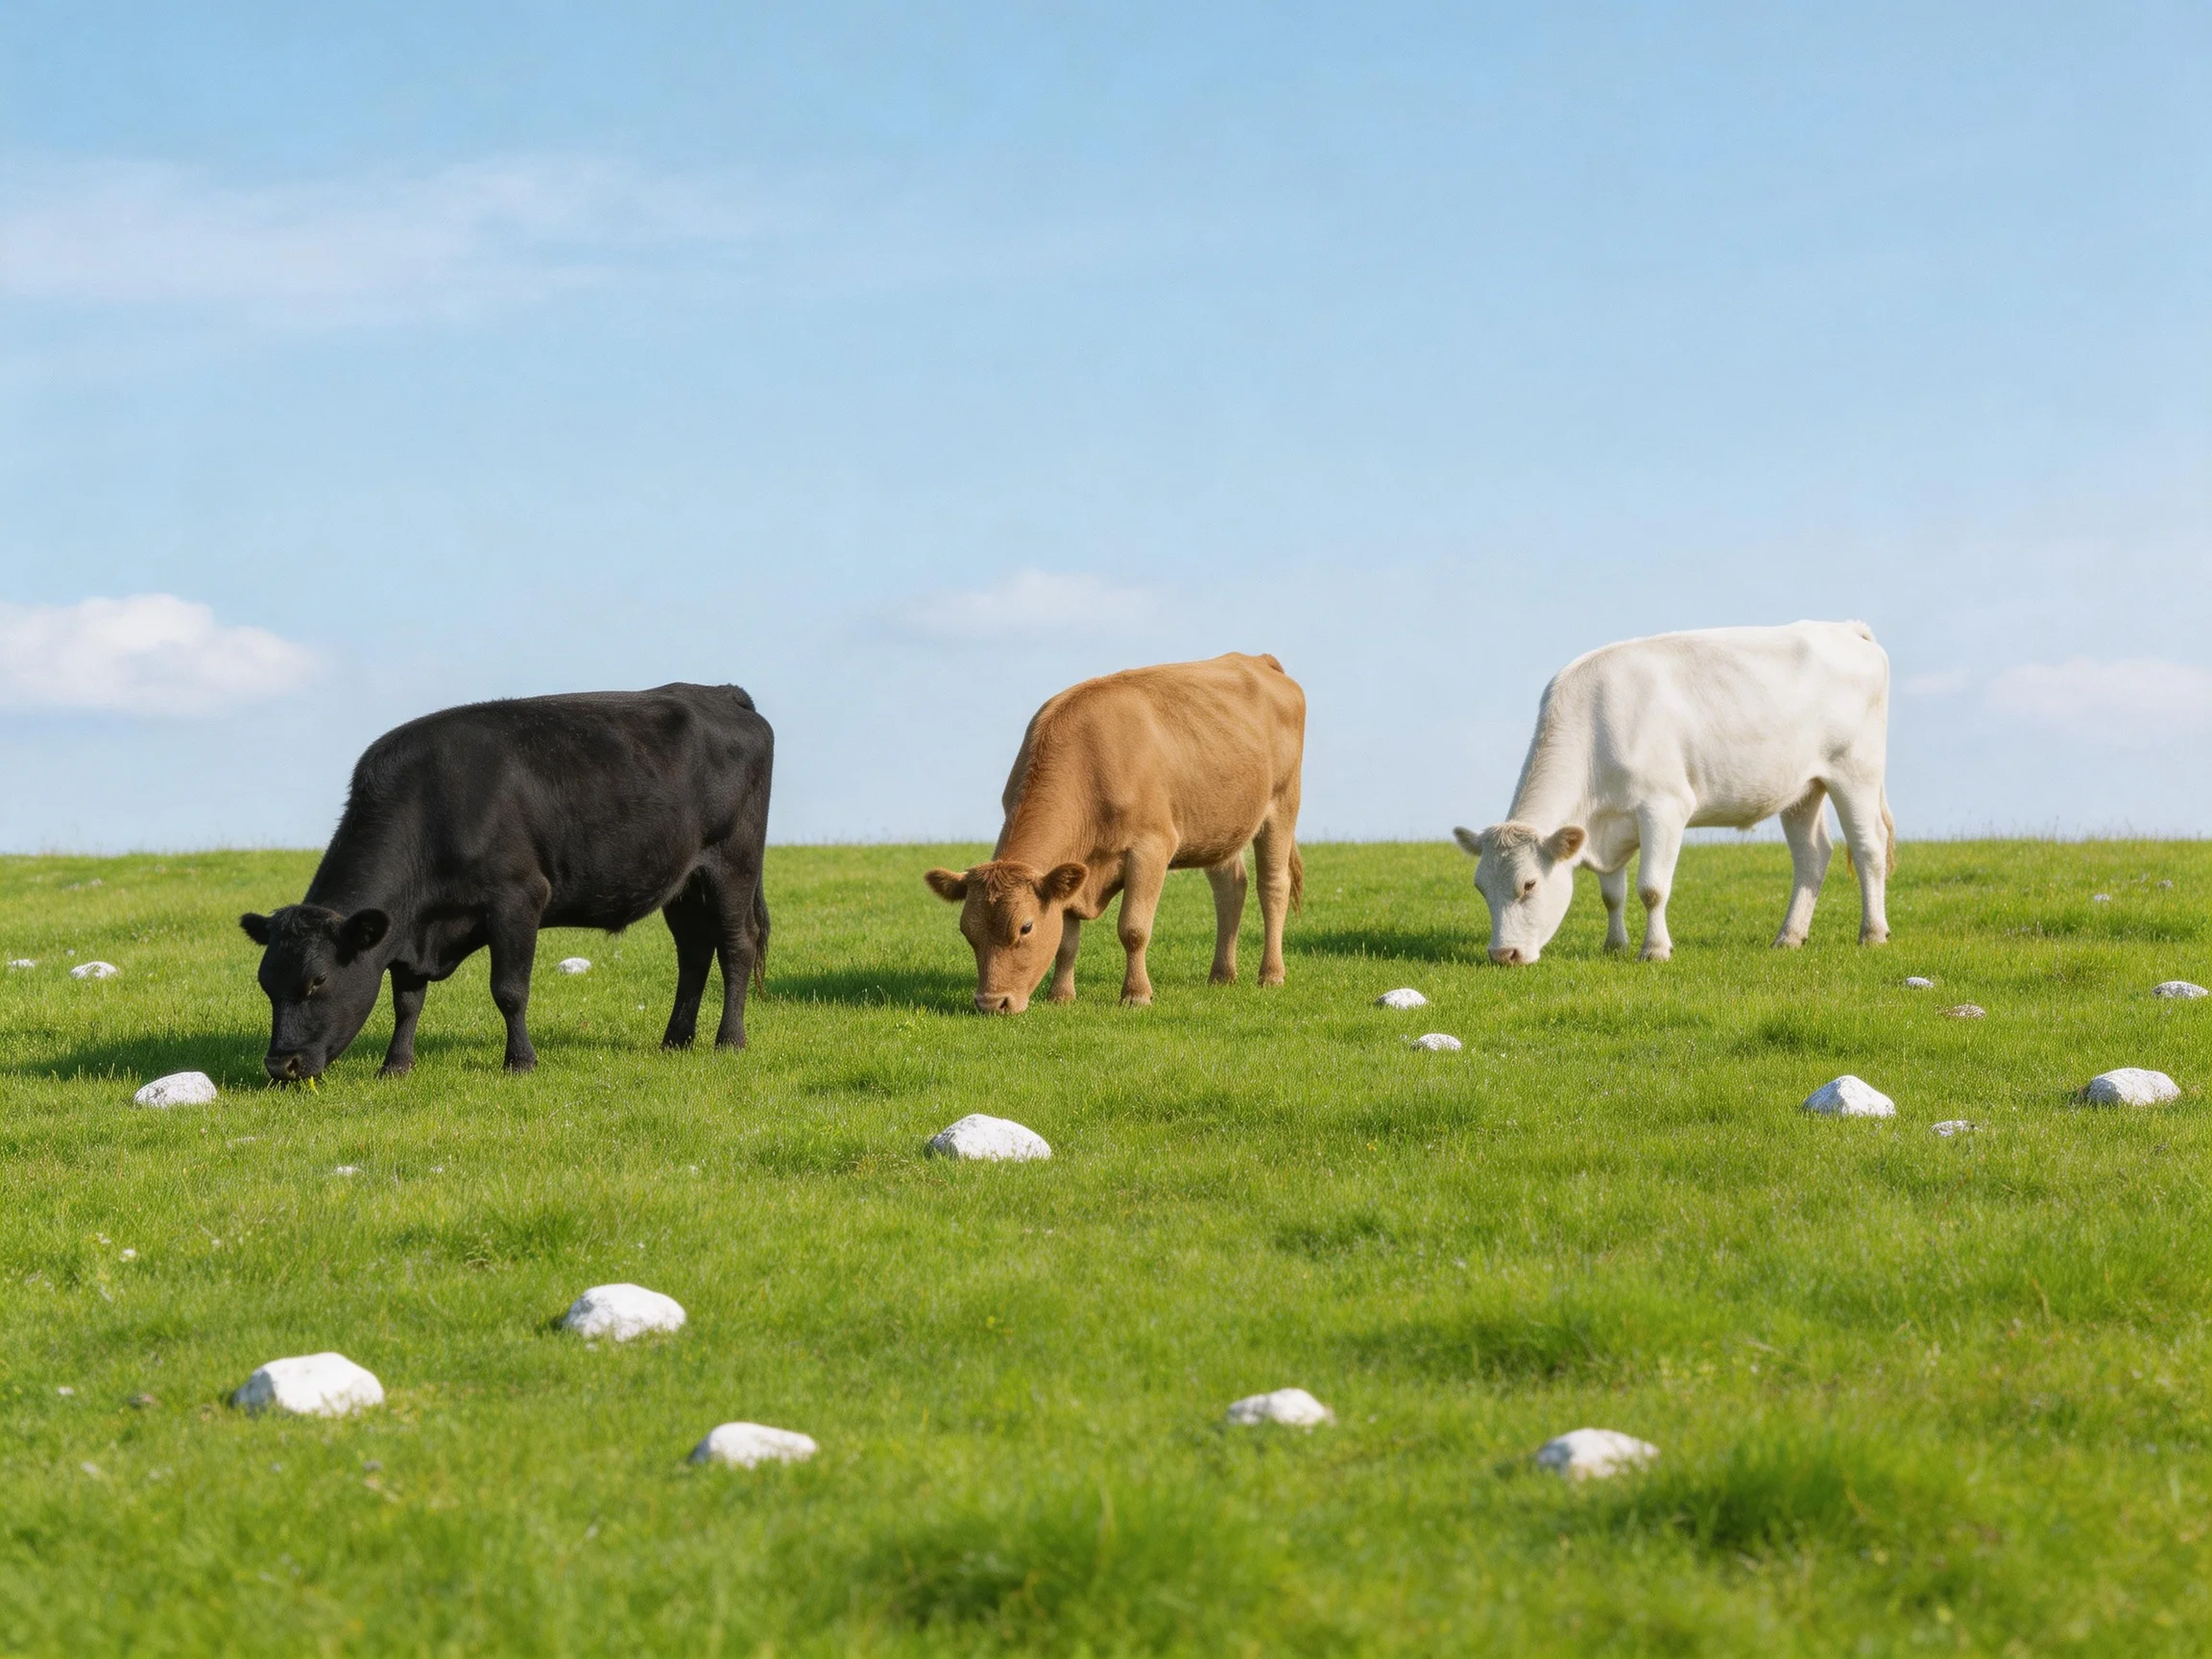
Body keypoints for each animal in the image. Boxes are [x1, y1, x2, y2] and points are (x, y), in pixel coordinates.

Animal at [240, 684, 772, 1081]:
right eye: (266, 982)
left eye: (318, 980)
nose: (280, 1065)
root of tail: (717, 693)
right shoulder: (412, 927)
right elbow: (406, 1000)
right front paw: (395, 1067)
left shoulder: (518, 899)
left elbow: (509, 990)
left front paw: (520, 1062)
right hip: (683, 884)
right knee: (694, 953)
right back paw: (675, 1041)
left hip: (733, 865)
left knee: (736, 945)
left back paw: (729, 1040)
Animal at [925, 652, 1305, 1013]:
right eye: (967, 930)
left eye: (1026, 927)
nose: (992, 1003)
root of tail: (1257, 660)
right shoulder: (1073, 870)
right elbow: (1067, 941)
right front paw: (1061, 995)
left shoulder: (1151, 847)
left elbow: (1133, 929)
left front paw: (1136, 995)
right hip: (1220, 825)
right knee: (1231, 890)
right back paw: (1222, 975)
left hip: (1282, 805)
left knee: (1272, 887)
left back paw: (1271, 974)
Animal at [1454, 621, 1893, 964]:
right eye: (1480, 887)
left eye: (1529, 884)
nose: (1503, 954)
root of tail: (1846, 628)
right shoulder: (1607, 824)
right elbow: (1612, 894)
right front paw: (1614, 945)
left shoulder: (1664, 807)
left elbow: (1651, 888)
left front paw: (1654, 950)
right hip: (1803, 788)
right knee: (1812, 856)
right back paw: (1789, 937)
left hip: (1855, 770)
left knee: (1868, 847)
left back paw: (1872, 932)